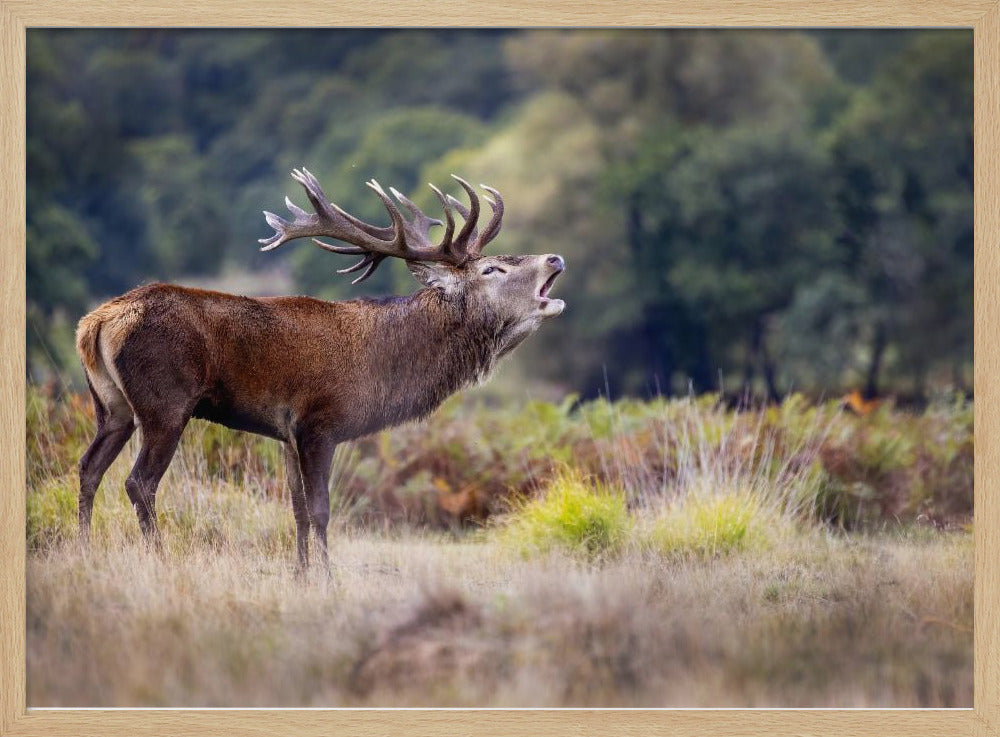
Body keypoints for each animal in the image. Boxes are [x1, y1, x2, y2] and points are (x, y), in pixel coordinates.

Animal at [74, 168, 566, 571]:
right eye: (492, 269)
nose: (555, 258)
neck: (384, 366)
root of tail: (96, 322)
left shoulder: (285, 432)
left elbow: (296, 510)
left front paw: (301, 574)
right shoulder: (319, 423)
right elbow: (320, 510)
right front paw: (328, 577)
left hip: (112, 408)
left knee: (88, 467)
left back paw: (84, 550)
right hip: (166, 403)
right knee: (138, 482)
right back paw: (157, 556)